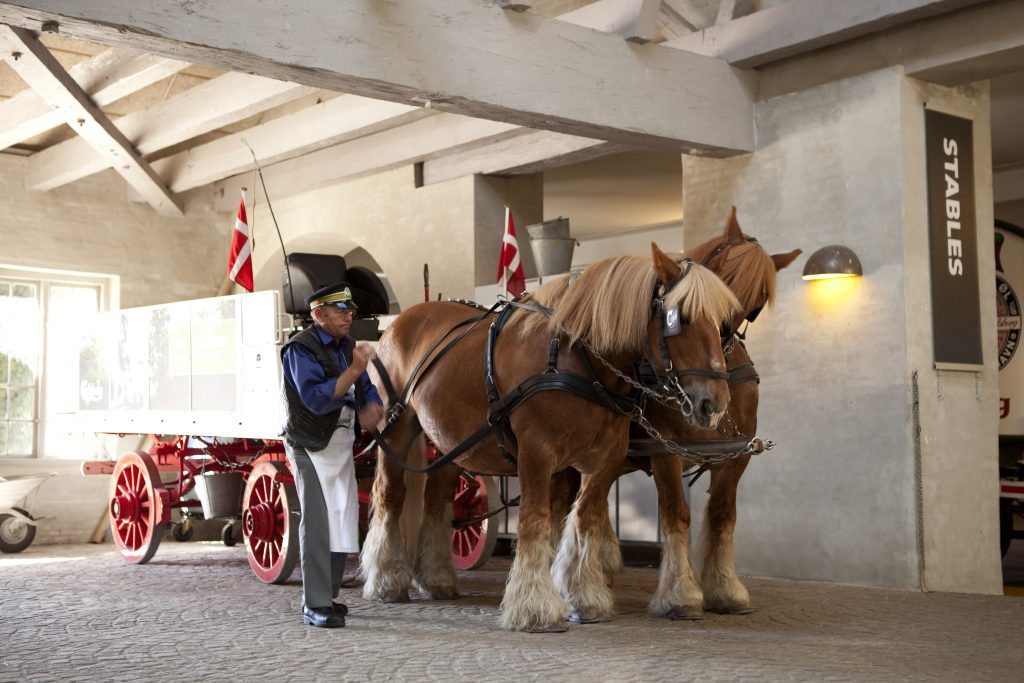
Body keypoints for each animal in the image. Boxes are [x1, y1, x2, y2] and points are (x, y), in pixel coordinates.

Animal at [360, 244, 740, 632]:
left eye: (724, 323)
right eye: (682, 318)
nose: (715, 404)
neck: (580, 358)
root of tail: (399, 321)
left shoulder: (605, 458)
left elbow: (585, 518)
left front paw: (585, 598)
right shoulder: (537, 454)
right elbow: (535, 520)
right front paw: (533, 607)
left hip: (451, 444)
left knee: (437, 498)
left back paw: (437, 579)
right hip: (395, 427)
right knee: (390, 495)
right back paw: (386, 580)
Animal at [640, 207, 801, 619]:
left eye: (759, 300)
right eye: (722, 274)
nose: (722, 330)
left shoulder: (736, 452)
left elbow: (722, 513)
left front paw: (725, 588)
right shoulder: (664, 450)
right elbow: (676, 514)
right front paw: (680, 594)